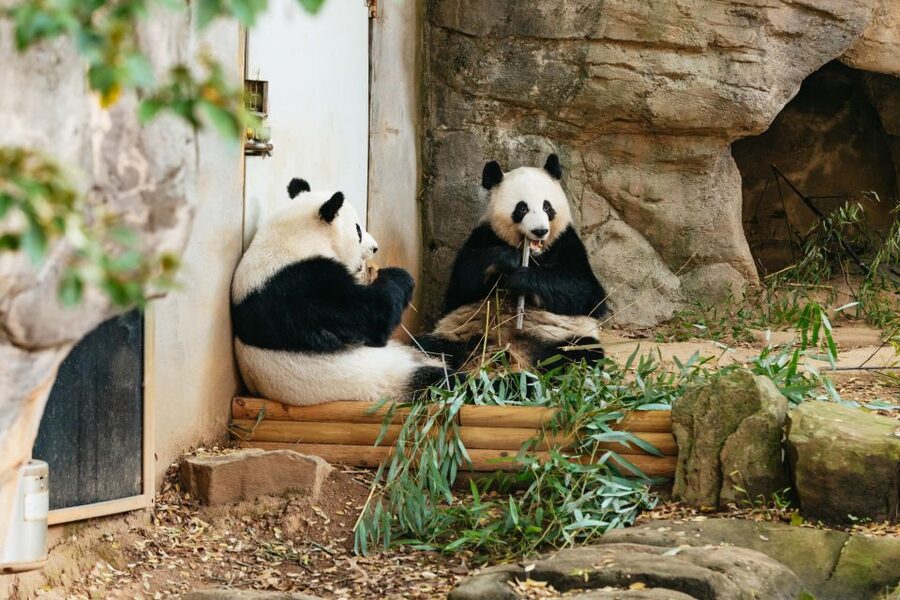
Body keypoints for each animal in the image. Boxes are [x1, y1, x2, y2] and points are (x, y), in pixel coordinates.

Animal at [231, 178, 447, 405]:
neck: (294, 239)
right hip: (387, 379)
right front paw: (399, 276)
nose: (375, 247)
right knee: (431, 380)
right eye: (358, 231)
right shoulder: (301, 291)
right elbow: (372, 317)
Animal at [421, 154, 607, 372]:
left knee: (578, 355)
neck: (535, 256)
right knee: (430, 348)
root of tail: (510, 352)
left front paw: (523, 279)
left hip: (561, 337)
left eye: (547, 206)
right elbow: (459, 287)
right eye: (522, 208)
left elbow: (588, 293)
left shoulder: (567, 242)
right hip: (457, 334)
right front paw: (507, 259)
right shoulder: (483, 235)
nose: (539, 231)